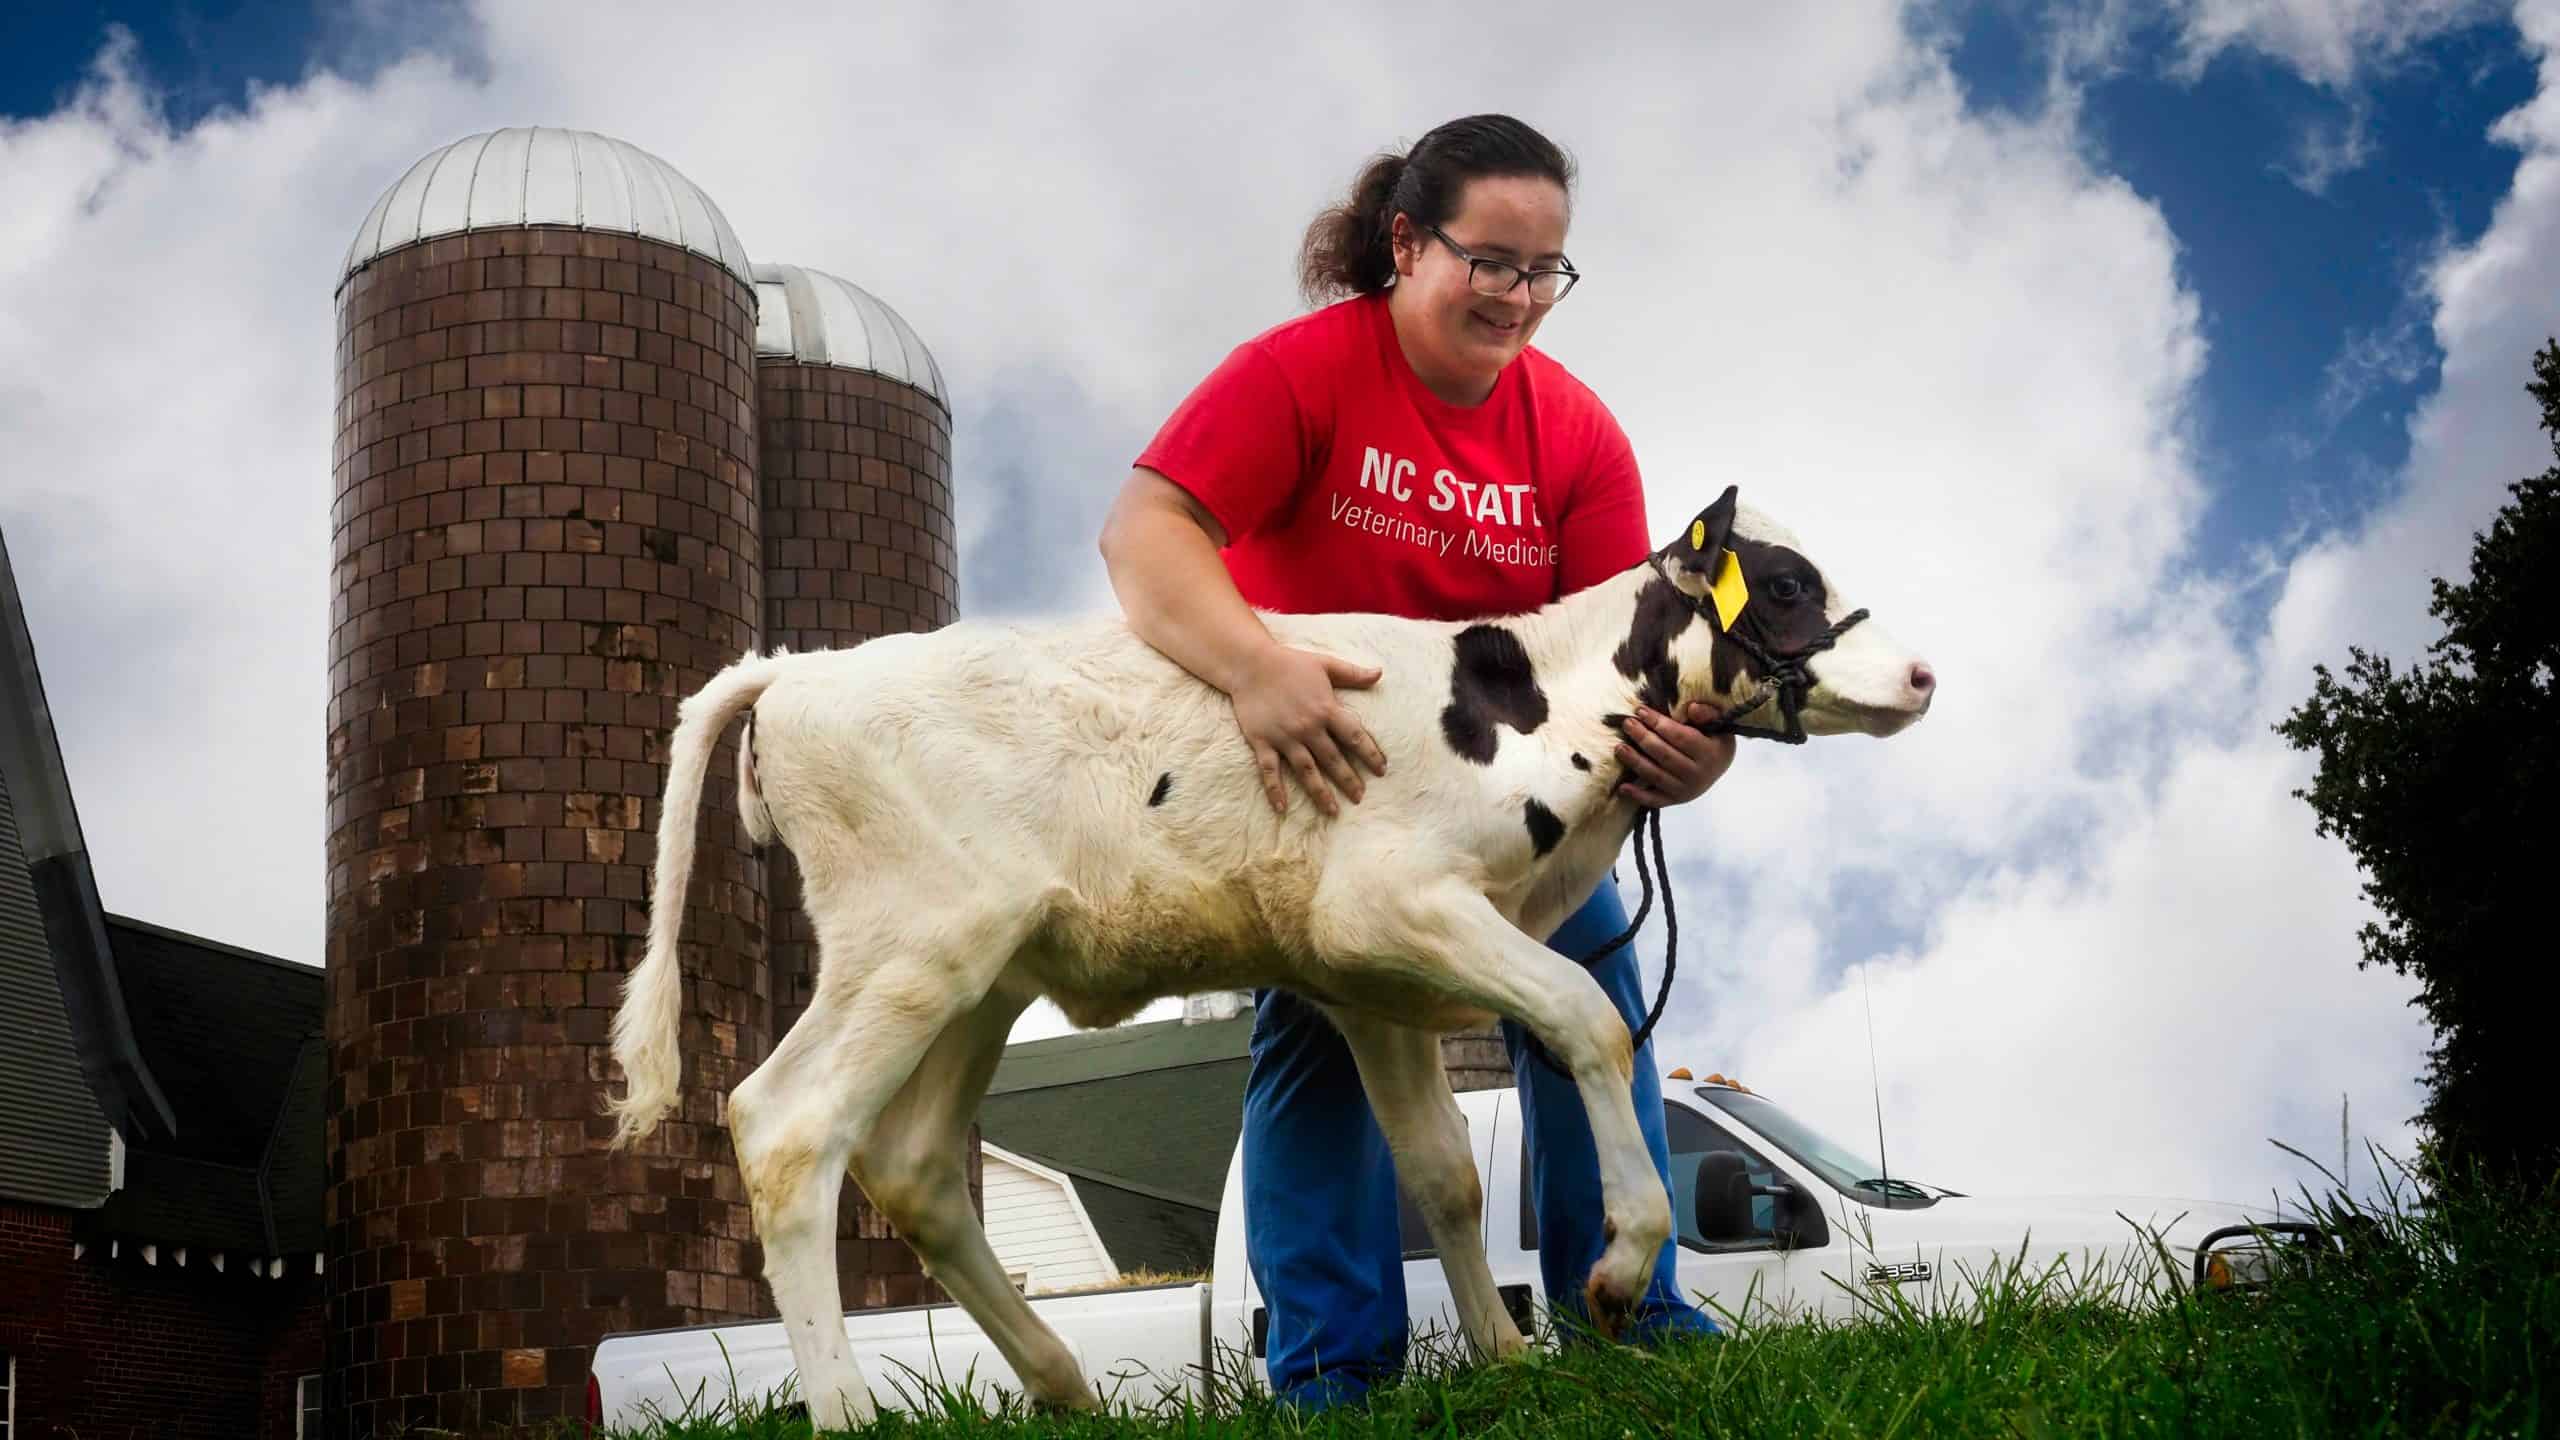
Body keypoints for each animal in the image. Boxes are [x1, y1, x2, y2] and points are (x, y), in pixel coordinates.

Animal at [609, 484, 1925, 1424]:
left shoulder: (1374, 984)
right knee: (786, 1125)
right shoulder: (1393, 904)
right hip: (911, 945)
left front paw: (1504, 1360)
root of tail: (796, 668)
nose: (1918, 671)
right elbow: (1588, 1019)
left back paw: (1064, 1389)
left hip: (981, 974)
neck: (1530, 712)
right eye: (1789, 582)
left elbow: (1442, 1172)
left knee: (918, 1165)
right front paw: (1614, 1270)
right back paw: (846, 1410)